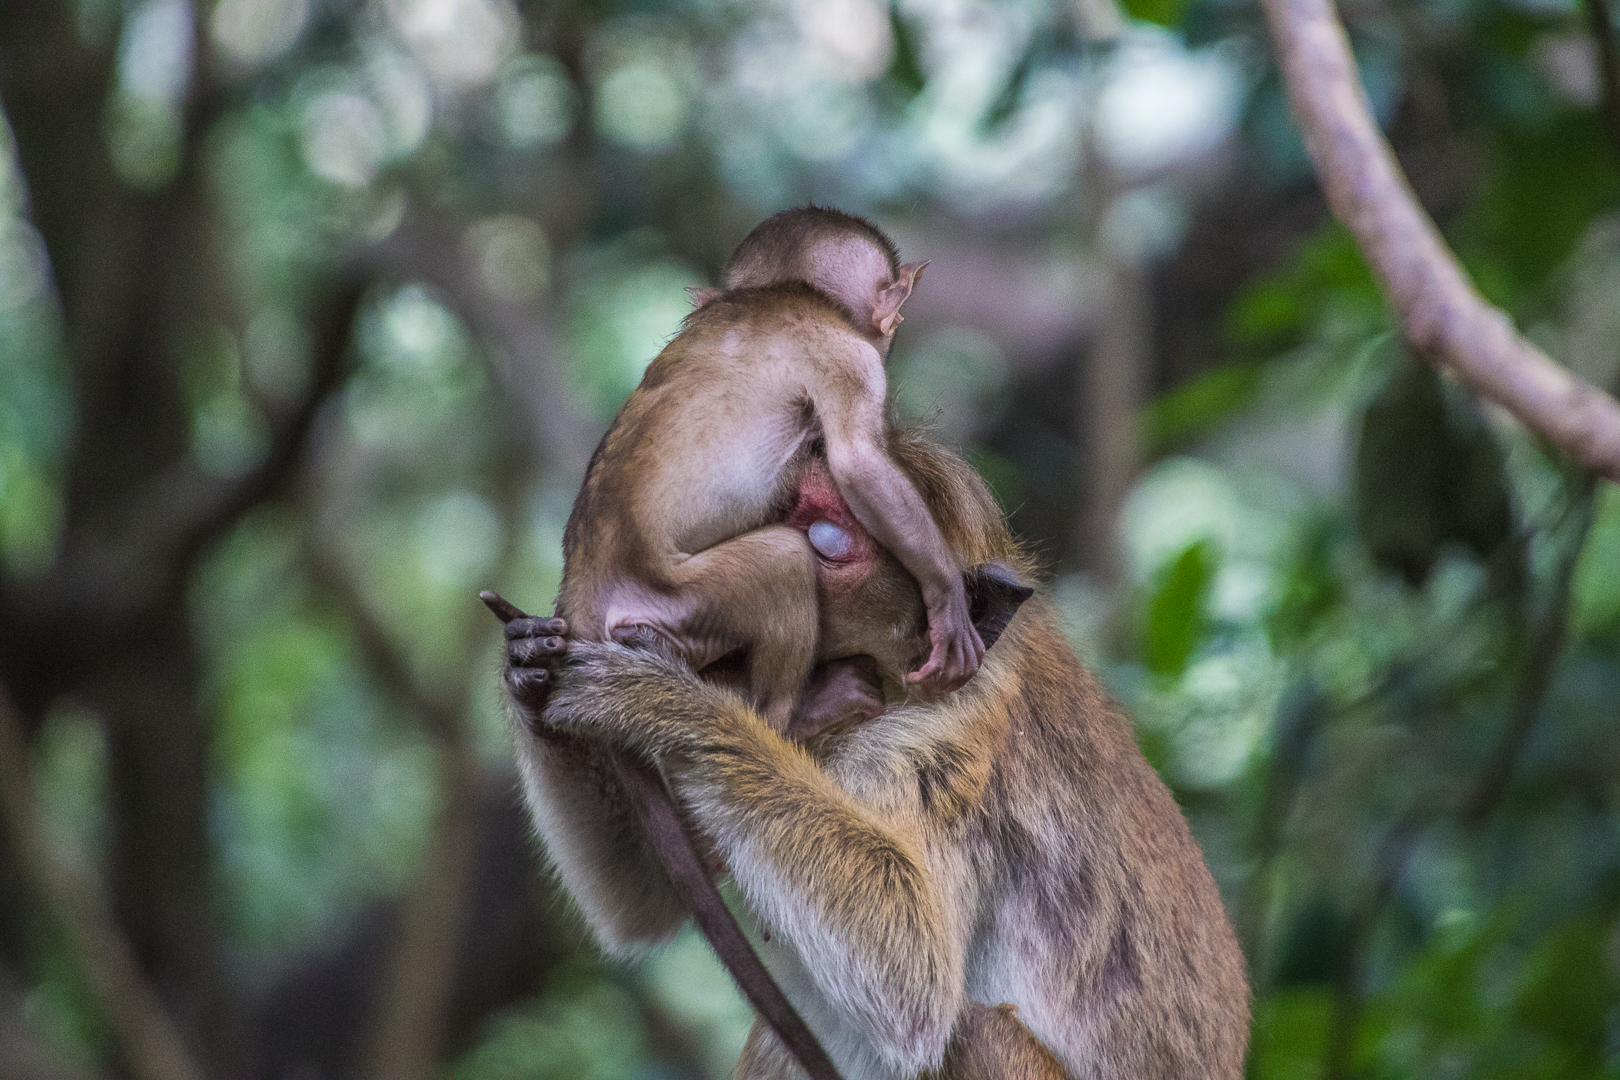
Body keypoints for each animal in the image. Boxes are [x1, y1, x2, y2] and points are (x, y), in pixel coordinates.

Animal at [500, 427, 1250, 1080]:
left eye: (827, 541)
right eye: (784, 512)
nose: (708, 582)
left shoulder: (940, 751)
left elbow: (914, 982)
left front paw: (660, 699)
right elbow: (648, 904)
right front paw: (530, 668)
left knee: (974, 1030)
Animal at [556, 208, 982, 732]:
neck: (778, 294)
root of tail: (583, 600)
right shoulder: (851, 357)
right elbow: (858, 462)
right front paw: (948, 601)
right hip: (677, 602)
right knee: (785, 560)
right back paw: (792, 716)